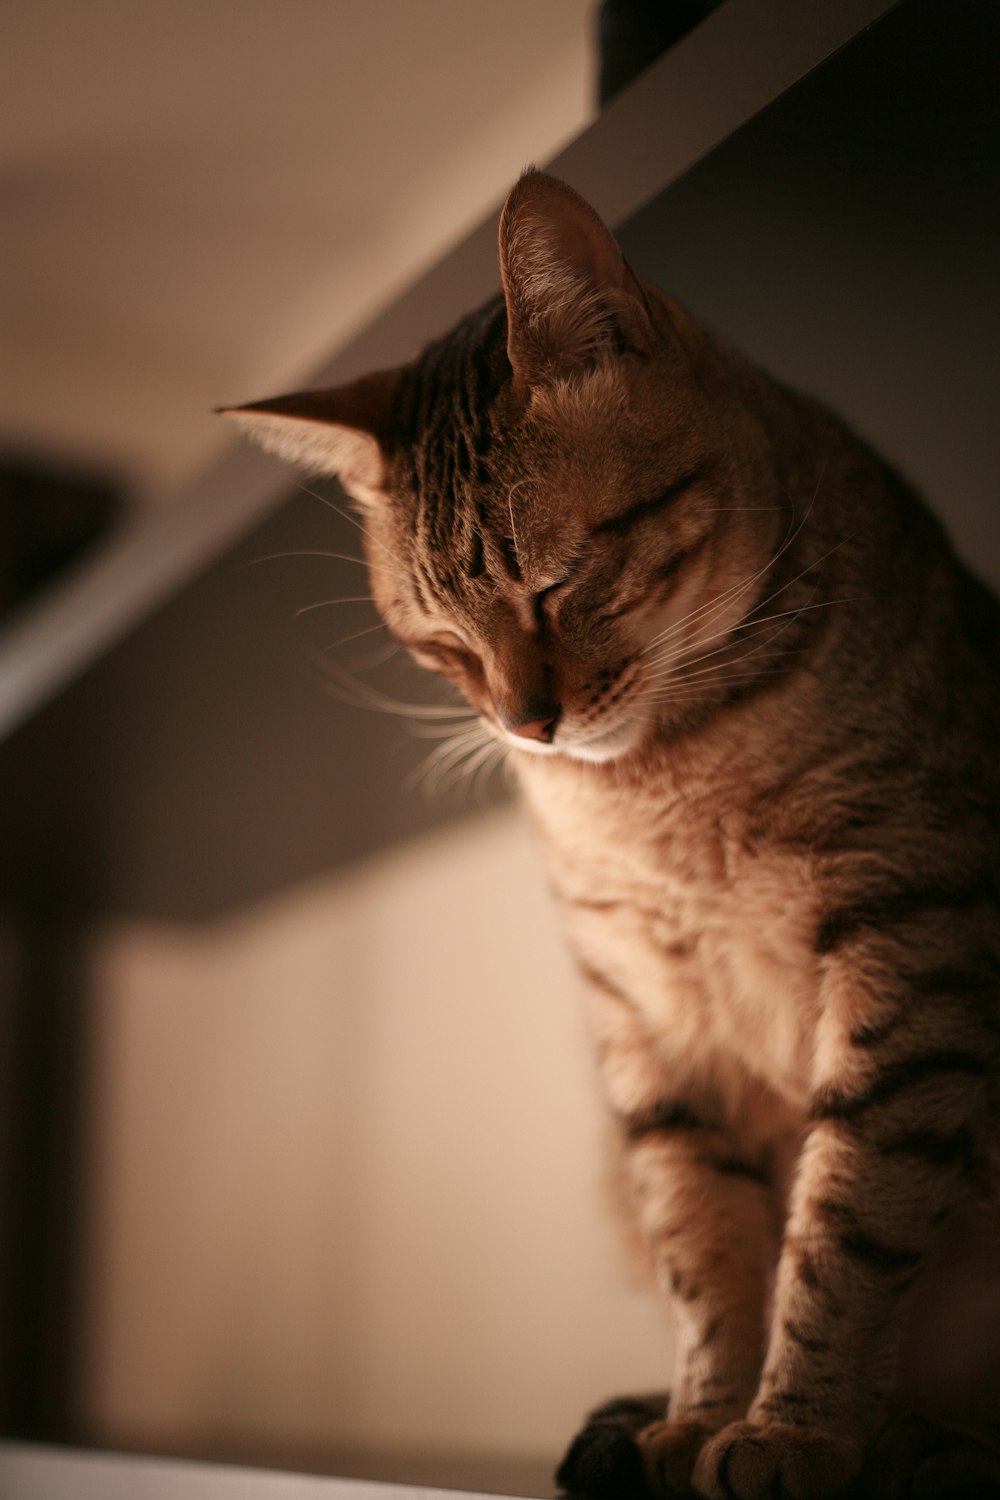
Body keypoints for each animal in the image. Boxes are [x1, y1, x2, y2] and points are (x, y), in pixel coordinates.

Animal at [224, 175, 1000, 1500]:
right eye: (440, 643)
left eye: (562, 582)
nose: (525, 724)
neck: (663, 791)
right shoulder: (647, 1030)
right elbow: (704, 1247)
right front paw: (702, 1420)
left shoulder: (908, 950)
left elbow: (845, 1225)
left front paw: (794, 1431)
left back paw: (933, 1444)